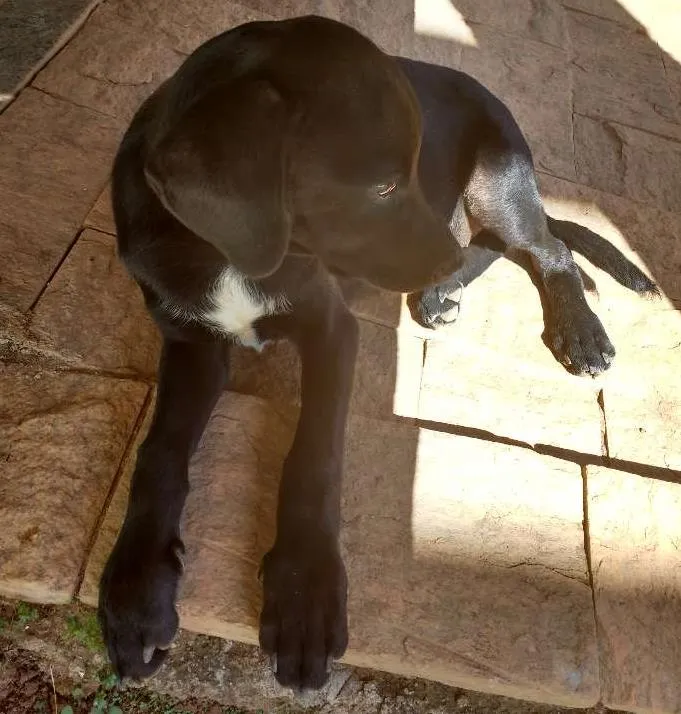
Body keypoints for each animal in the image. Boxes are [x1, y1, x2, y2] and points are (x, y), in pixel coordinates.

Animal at [98, 15, 656, 688]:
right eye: (383, 187)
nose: (441, 259)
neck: (226, 256)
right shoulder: (191, 340)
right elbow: (158, 454)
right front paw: (136, 590)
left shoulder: (334, 328)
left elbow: (314, 455)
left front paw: (304, 591)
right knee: (499, 243)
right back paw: (445, 291)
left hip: (496, 180)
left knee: (545, 247)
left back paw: (573, 329)